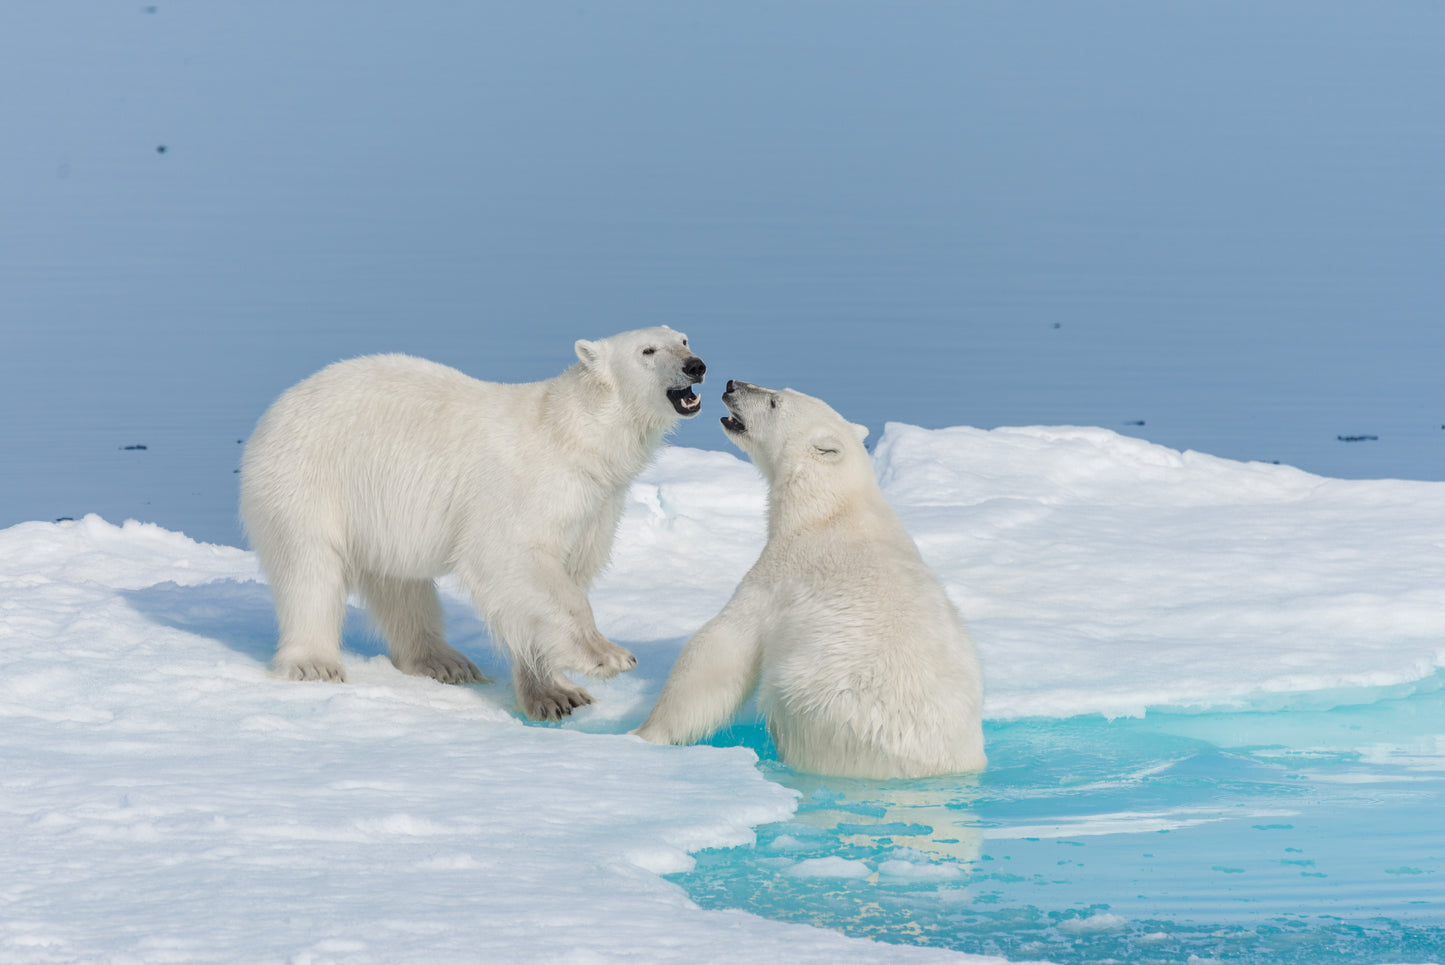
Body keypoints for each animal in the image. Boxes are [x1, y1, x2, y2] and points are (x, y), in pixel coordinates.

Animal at [239, 326, 705, 721]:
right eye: (648, 350)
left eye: (683, 338)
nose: (696, 365)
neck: (577, 434)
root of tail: (277, 408)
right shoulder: (524, 489)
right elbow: (516, 563)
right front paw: (608, 656)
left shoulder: (597, 506)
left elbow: (556, 581)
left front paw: (557, 694)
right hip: (309, 479)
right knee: (310, 569)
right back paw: (315, 664)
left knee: (401, 585)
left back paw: (444, 662)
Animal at [635, 380, 985, 779]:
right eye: (779, 390)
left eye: (774, 401)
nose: (732, 385)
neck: (828, 510)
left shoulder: (782, 572)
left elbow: (719, 649)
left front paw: (644, 733)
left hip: (816, 708)